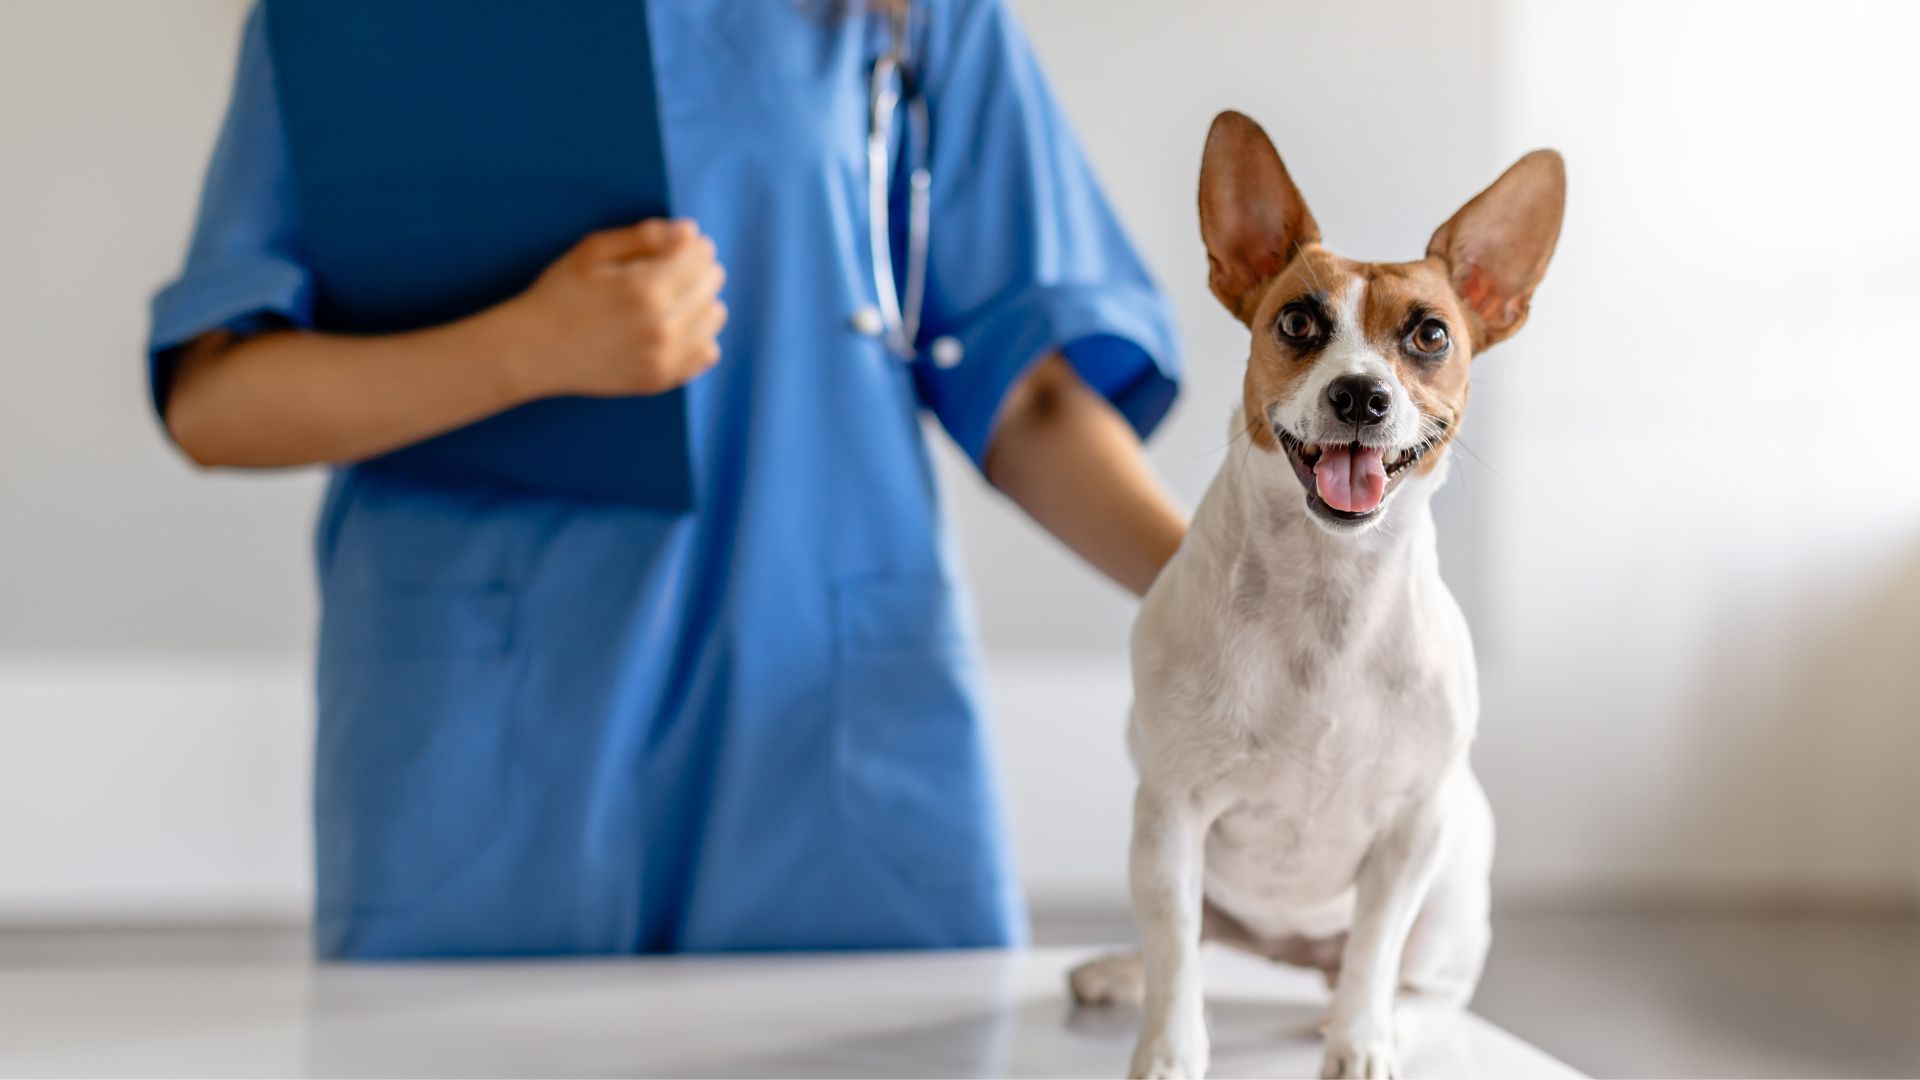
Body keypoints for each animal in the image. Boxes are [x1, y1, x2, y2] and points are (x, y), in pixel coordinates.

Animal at [1075, 111, 1566, 1076]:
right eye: (1298, 321)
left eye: (1431, 336)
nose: (1361, 394)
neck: (1328, 589)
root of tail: (1292, 950)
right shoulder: (1171, 818)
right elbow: (1175, 950)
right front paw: (1170, 1051)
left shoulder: (1409, 834)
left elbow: (1374, 950)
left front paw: (1361, 1041)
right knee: (1190, 939)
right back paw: (1120, 971)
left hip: (1448, 899)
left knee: (1419, 987)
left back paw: (1369, 1020)